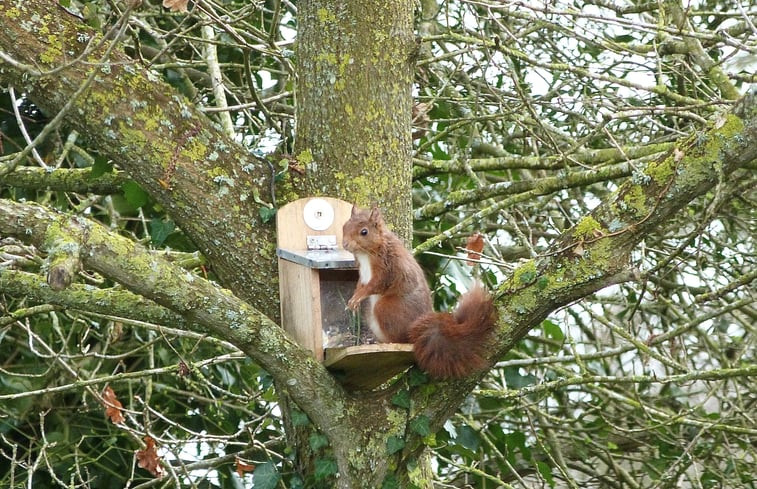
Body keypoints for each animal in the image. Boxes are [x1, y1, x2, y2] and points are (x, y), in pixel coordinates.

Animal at [342, 204, 496, 380]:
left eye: (364, 232)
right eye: (344, 226)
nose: (345, 244)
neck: (367, 254)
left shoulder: (388, 268)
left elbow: (375, 285)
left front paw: (357, 297)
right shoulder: (363, 275)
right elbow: (360, 285)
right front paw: (353, 298)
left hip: (387, 308)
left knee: (399, 338)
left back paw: (386, 343)